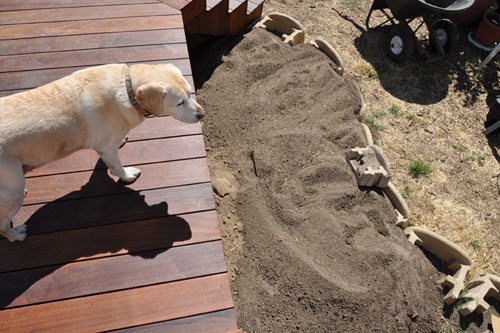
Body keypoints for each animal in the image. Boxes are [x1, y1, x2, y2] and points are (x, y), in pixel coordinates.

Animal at [0, 63, 205, 240]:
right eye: (180, 102)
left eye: (190, 93)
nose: (202, 114)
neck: (127, 89)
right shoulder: (106, 148)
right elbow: (117, 167)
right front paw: (127, 175)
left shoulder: (104, 146)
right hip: (13, 187)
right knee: (3, 225)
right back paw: (17, 235)